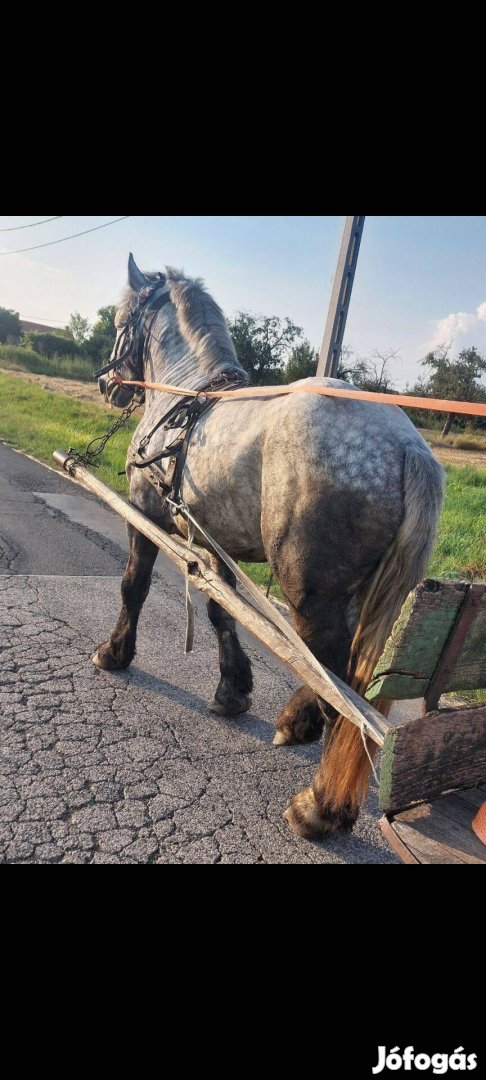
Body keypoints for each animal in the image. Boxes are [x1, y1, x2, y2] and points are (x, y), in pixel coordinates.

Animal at [92, 254, 444, 842]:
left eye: (120, 319)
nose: (108, 383)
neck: (185, 397)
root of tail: (407, 445)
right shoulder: (214, 540)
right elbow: (221, 610)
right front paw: (232, 689)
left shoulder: (144, 512)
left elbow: (133, 585)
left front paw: (115, 653)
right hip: (358, 592)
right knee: (349, 677)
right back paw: (308, 741)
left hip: (312, 592)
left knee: (336, 678)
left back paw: (317, 799)